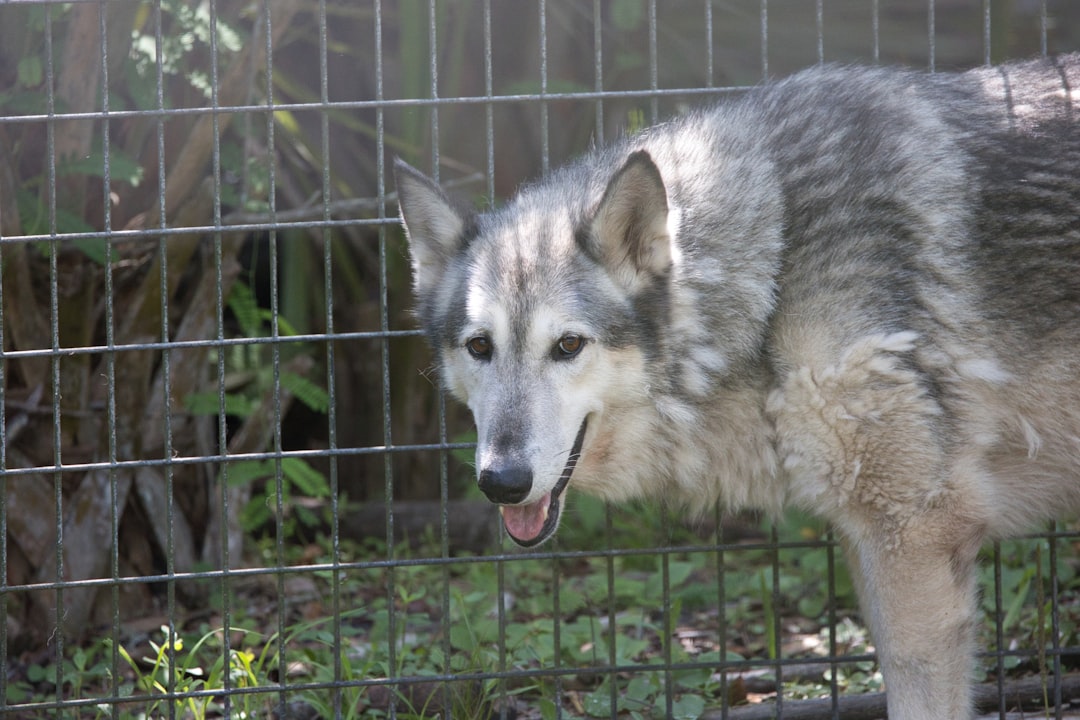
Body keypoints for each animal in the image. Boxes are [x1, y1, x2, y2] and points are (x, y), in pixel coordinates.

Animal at [394, 53, 1080, 719]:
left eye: (567, 346)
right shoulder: (870, 539)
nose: (501, 482)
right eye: (480, 347)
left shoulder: (913, 536)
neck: (774, 266)